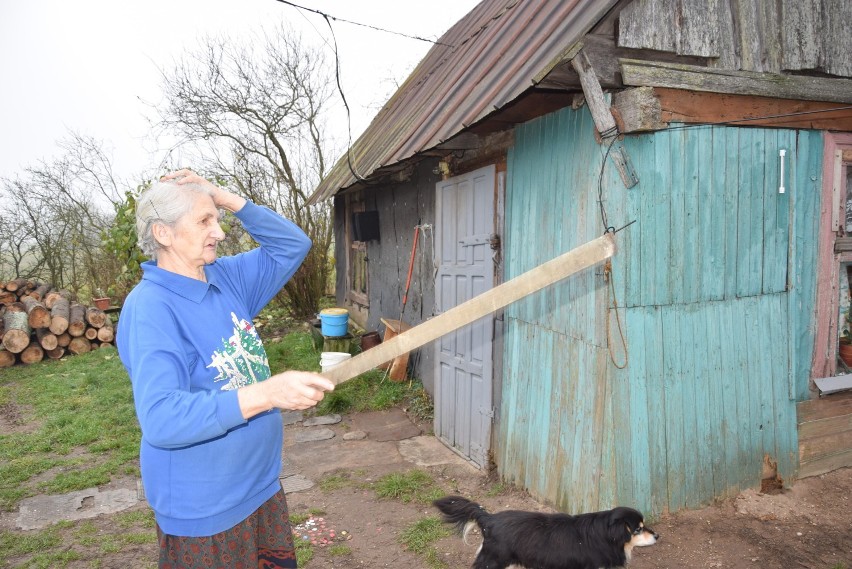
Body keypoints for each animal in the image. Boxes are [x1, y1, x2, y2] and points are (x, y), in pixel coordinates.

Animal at [432, 492, 660, 568]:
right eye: (638, 529)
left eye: (644, 526)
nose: (658, 535)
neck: (605, 535)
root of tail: (489, 518)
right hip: (494, 562)